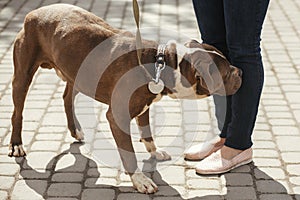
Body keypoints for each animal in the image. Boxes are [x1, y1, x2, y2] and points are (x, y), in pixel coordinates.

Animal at [8, 3, 241, 194]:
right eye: (227, 73)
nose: (240, 72)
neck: (162, 63)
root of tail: (34, 12)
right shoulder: (117, 116)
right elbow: (128, 152)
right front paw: (140, 180)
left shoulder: (145, 105)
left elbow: (147, 133)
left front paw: (155, 152)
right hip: (23, 75)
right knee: (17, 112)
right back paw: (17, 144)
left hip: (78, 72)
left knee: (67, 96)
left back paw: (75, 130)